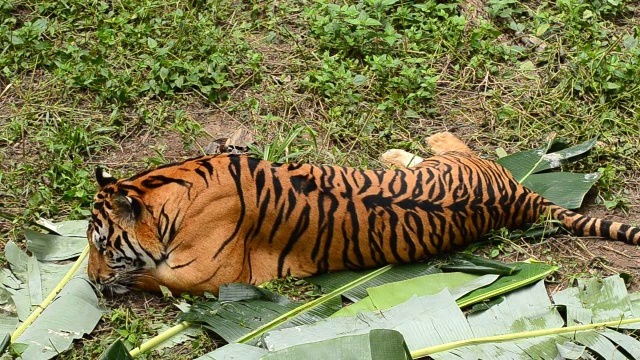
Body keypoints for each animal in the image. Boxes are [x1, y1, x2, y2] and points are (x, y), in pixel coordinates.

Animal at [86, 132, 640, 296]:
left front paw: (119, 284)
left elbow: (152, 276)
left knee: (446, 137)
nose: (88, 281)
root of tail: (519, 192)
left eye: (101, 247)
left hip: (456, 154)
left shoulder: (209, 275)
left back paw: (400, 150)